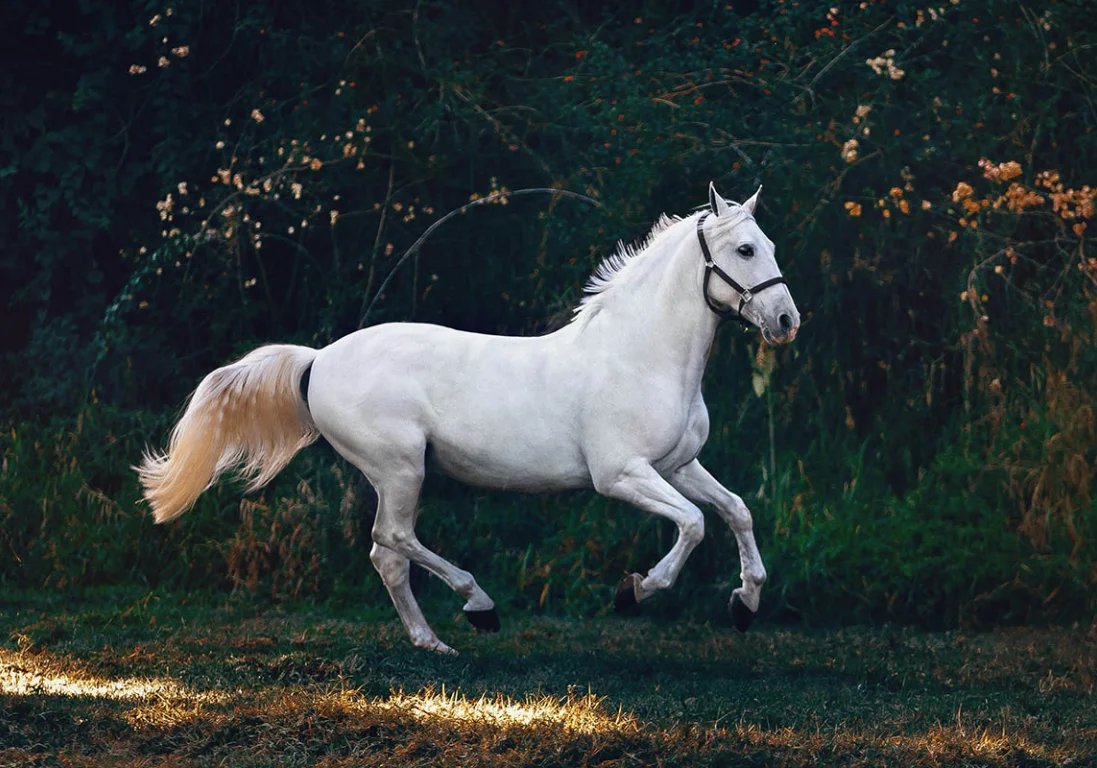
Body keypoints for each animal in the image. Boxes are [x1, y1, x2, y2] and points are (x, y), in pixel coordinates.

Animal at [141, 183, 803, 649]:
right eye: (745, 249)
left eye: (771, 247)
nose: (786, 321)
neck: (640, 355)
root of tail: (318, 359)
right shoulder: (621, 475)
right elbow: (692, 524)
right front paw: (634, 592)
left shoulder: (678, 464)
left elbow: (736, 511)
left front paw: (744, 604)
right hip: (400, 468)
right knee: (392, 540)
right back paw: (478, 607)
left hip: (399, 474)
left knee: (387, 555)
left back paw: (432, 642)